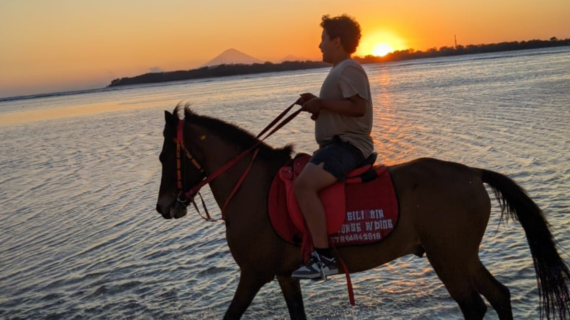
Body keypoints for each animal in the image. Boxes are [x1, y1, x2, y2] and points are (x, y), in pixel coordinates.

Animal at [155, 106, 568, 320]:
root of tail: (471, 172)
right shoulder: (285, 275)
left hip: (447, 258)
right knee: (498, 296)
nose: (163, 206)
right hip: (461, 255)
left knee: (474, 306)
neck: (253, 187)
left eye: (163, 156)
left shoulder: (253, 275)